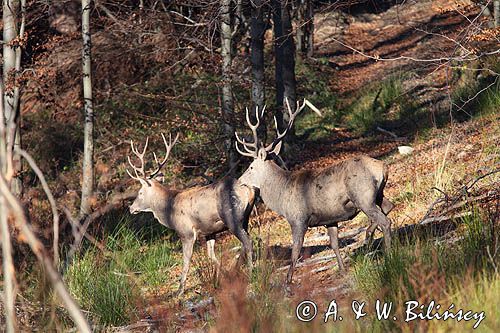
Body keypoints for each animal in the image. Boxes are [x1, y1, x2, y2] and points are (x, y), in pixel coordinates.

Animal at [127, 132, 256, 294]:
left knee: (248, 242)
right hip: (245, 219)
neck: (168, 211)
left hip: (232, 218)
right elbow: (211, 255)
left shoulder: (186, 232)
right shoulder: (209, 231)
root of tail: (249, 190)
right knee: (246, 242)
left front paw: (180, 289)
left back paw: (251, 274)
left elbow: (186, 260)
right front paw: (224, 276)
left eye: (140, 192)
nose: (131, 208)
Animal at [234, 100, 394, 286]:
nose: (239, 180)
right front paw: (342, 270)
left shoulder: (298, 219)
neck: (281, 196)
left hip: (363, 196)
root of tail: (383, 167)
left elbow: (295, 251)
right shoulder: (330, 219)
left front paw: (287, 282)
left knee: (385, 221)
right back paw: (369, 236)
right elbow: (334, 244)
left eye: (251, 167)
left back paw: (388, 254)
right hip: (377, 194)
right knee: (389, 206)